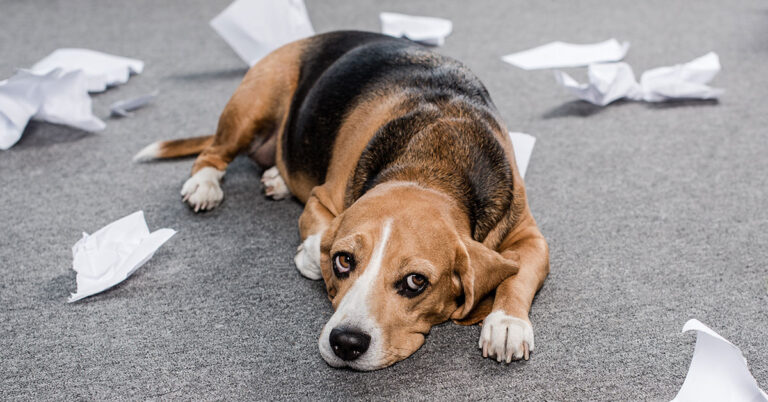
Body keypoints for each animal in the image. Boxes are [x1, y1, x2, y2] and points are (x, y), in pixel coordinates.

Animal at [136, 30, 544, 370]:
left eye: (416, 282)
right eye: (344, 261)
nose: (346, 343)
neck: (431, 165)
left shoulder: (531, 237)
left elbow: (519, 275)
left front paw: (506, 323)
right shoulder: (322, 197)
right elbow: (319, 234)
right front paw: (310, 257)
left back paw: (276, 178)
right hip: (254, 102)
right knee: (213, 153)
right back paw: (205, 185)